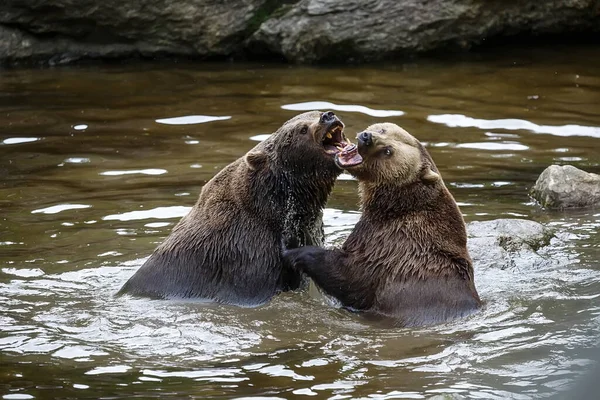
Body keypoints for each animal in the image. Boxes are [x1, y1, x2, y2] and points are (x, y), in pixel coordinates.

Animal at [284, 123, 482, 326]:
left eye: (388, 151)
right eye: (383, 130)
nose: (366, 137)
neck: (393, 205)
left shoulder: (391, 244)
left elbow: (351, 275)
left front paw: (293, 246)